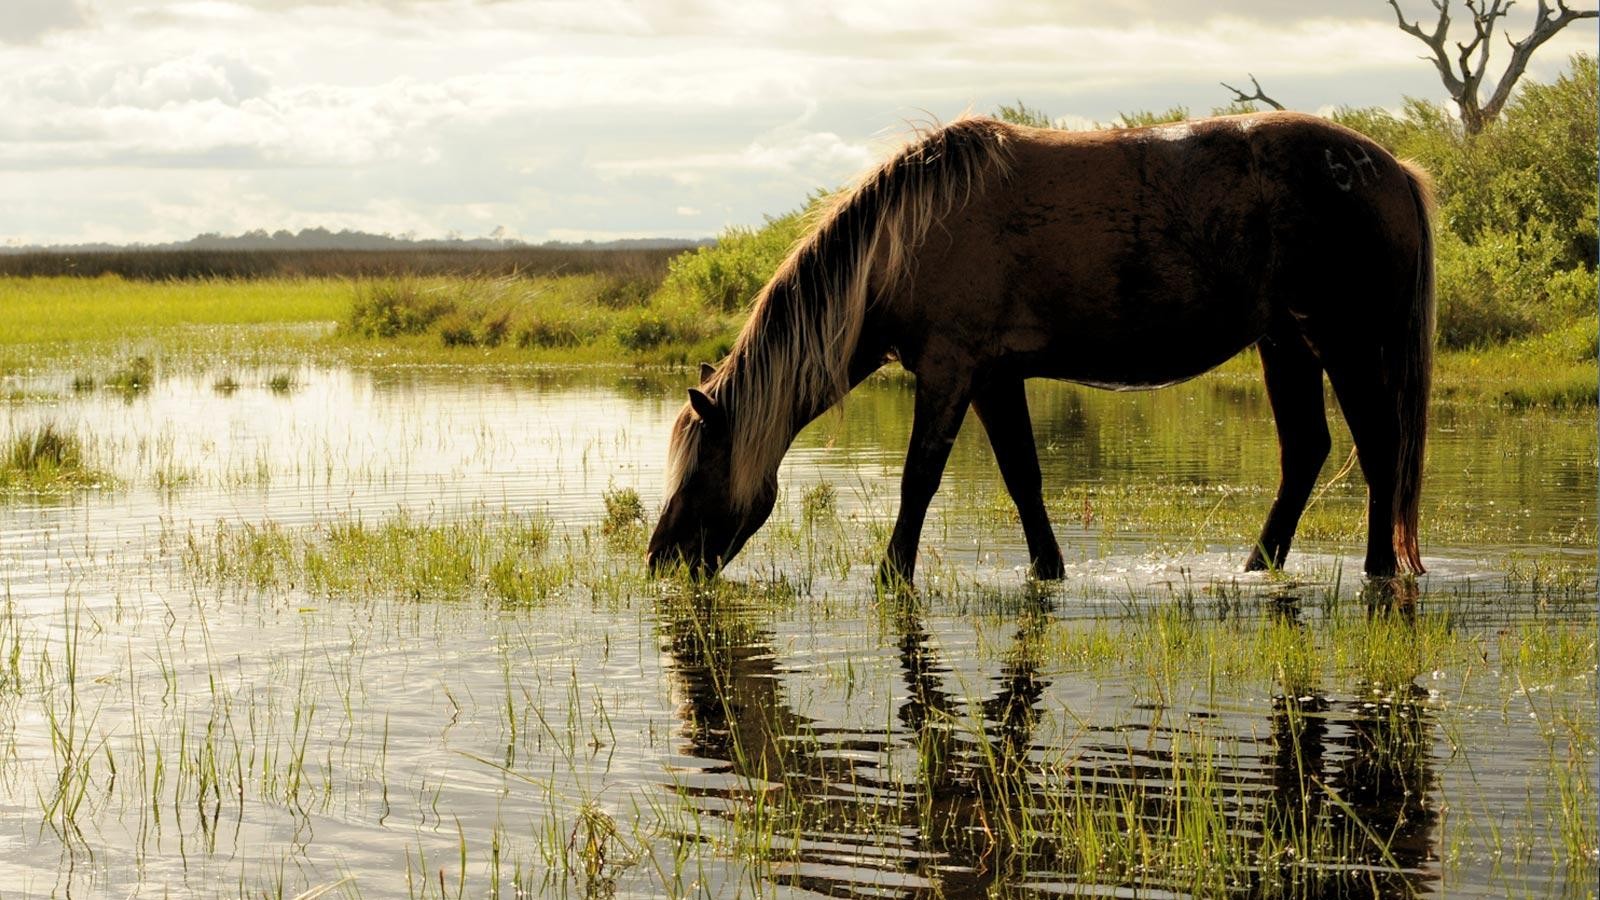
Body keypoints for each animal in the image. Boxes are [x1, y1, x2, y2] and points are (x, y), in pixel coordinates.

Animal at [646, 110, 1440, 582]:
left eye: (701, 467)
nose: (660, 559)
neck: (907, 238)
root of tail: (1394, 169)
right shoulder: (995, 379)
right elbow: (1023, 478)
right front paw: (1047, 570)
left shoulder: (949, 372)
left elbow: (918, 479)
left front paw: (892, 575)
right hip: (1286, 343)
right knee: (1307, 451)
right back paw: (1258, 565)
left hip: (1343, 342)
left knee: (1378, 446)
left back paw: (1377, 569)